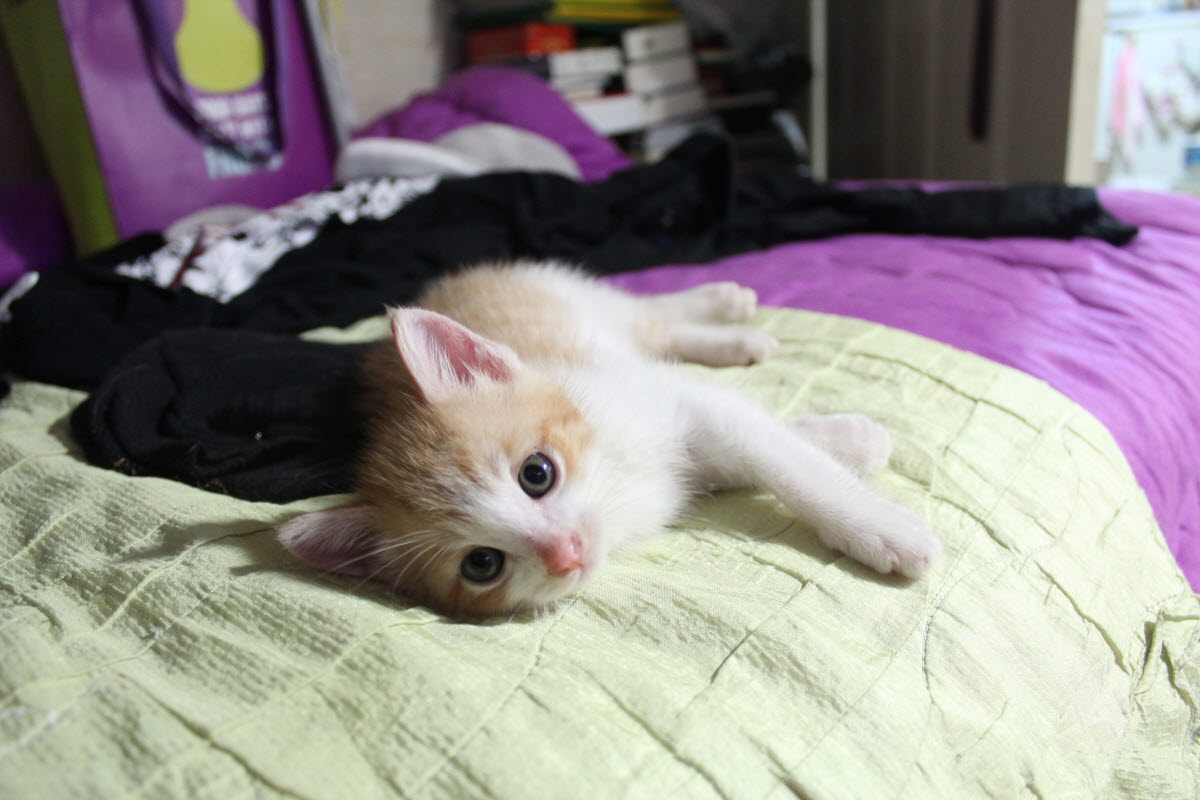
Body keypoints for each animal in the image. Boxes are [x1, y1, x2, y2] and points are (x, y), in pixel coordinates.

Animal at [278, 261, 941, 616]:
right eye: (482, 564)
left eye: (536, 473)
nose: (565, 551)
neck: (620, 483)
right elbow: (754, 450)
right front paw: (850, 439)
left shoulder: (664, 400)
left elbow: (783, 461)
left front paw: (881, 527)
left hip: (568, 300)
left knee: (643, 313)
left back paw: (727, 311)